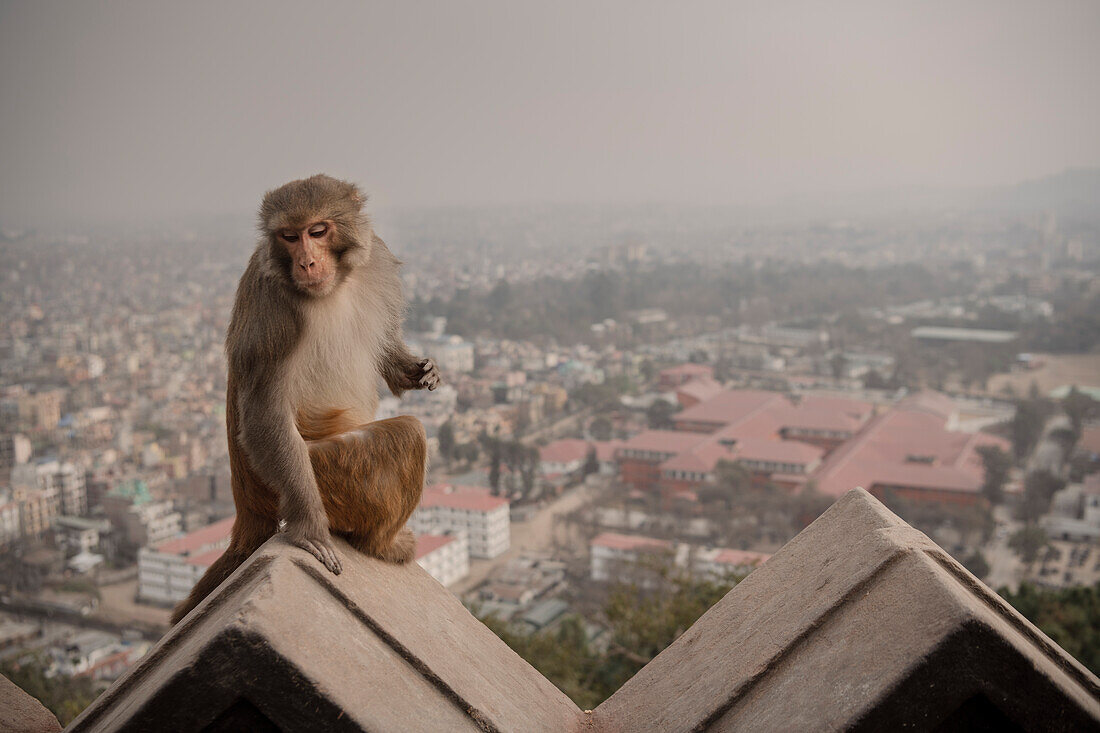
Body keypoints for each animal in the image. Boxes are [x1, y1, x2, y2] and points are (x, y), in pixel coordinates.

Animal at [171, 172, 437, 620]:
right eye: (289, 237)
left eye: (317, 231)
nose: (307, 262)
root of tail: (246, 503)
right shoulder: (272, 309)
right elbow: (265, 413)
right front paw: (311, 529)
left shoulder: (377, 258)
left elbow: (384, 348)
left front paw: (419, 371)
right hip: (316, 475)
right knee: (406, 437)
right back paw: (381, 545)